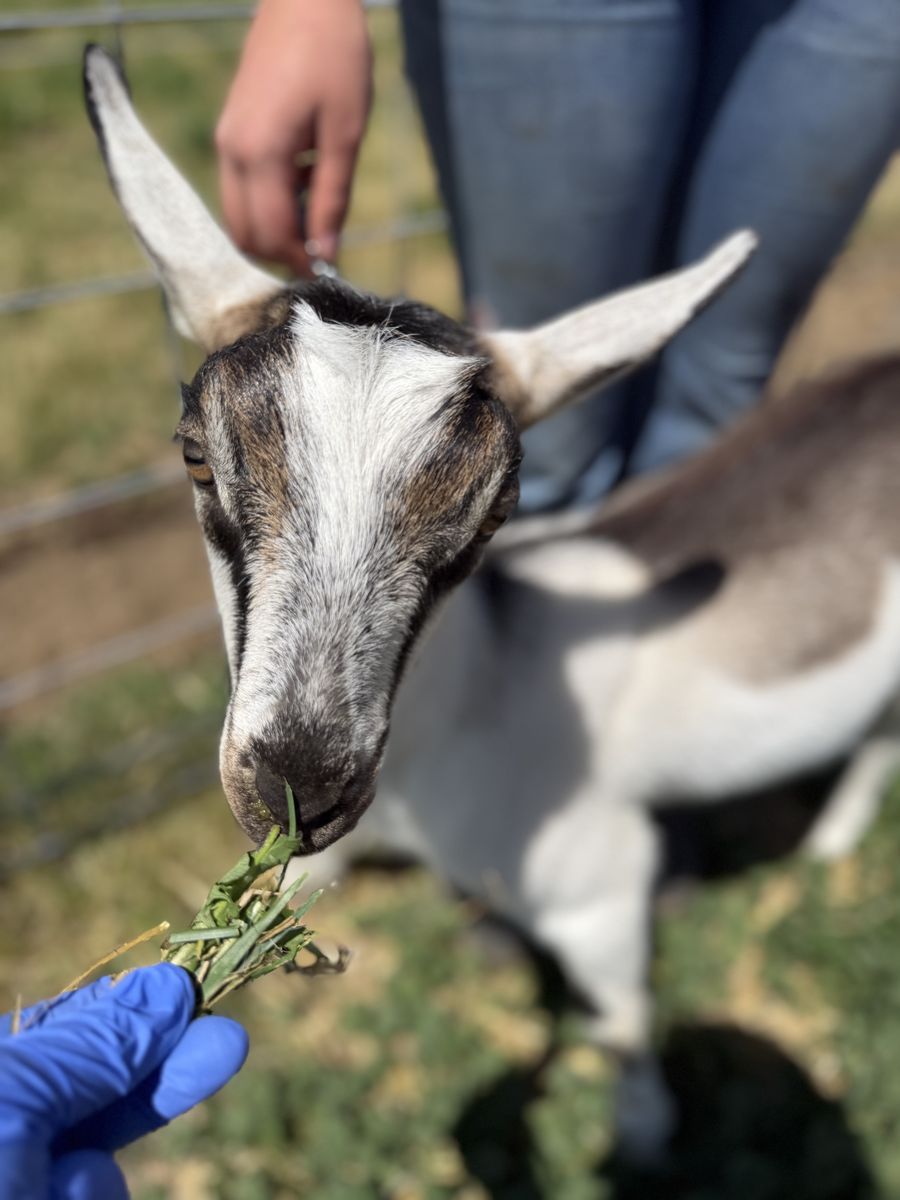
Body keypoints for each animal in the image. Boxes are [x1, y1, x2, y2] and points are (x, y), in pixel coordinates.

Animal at [83, 45, 900, 1156]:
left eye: (499, 506)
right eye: (196, 456)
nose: (298, 790)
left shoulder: (598, 889)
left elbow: (623, 1021)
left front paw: (643, 1131)